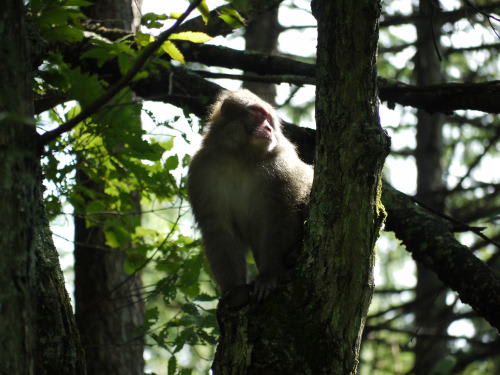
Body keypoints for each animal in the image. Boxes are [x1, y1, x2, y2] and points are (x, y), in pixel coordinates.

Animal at [188, 89, 312, 302]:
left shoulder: (281, 166)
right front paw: (234, 290)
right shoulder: (201, 171)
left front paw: (269, 276)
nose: (268, 128)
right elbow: (217, 228)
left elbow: (279, 215)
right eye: (258, 114)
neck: (241, 157)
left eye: (269, 119)